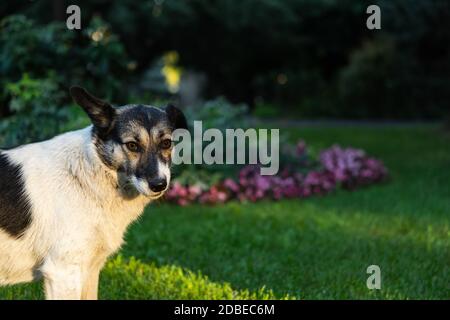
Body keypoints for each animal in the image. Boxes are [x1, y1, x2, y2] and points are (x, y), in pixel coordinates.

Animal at [0, 85, 186, 300]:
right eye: (132, 145)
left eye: (166, 143)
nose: (159, 184)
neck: (87, 173)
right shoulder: (62, 272)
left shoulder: (89, 269)